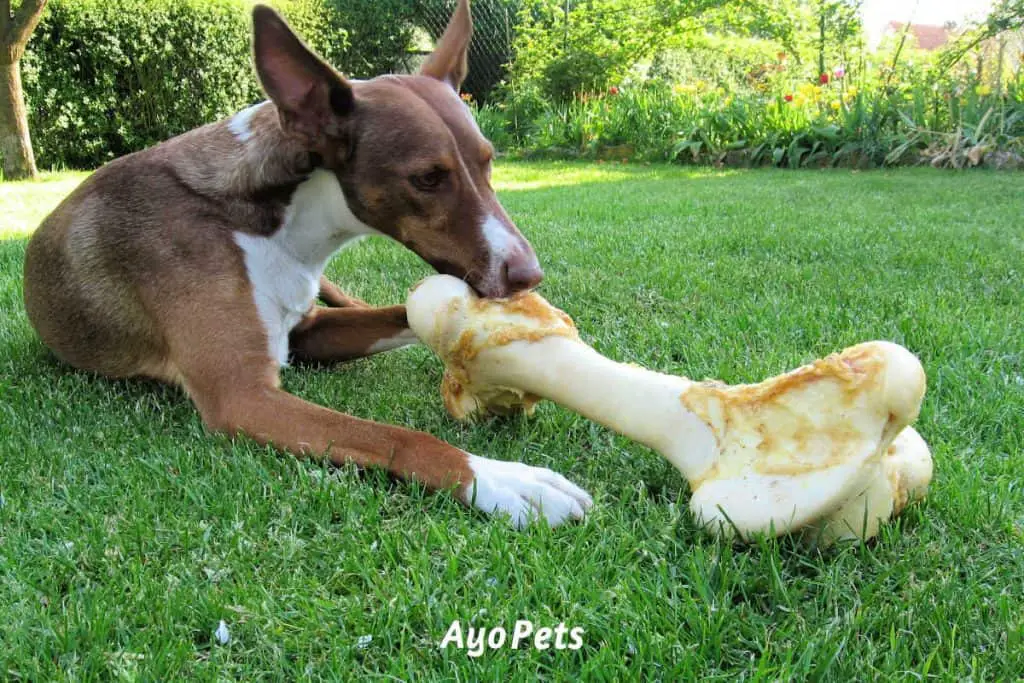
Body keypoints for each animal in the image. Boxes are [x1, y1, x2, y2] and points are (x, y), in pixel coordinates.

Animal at [22, 0, 593, 528]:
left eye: (488, 161)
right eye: (428, 178)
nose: (528, 275)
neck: (276, 223)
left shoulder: (309, 331)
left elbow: (403, 314)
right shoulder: (242, 395)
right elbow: (399, 436)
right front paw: (503, 480)